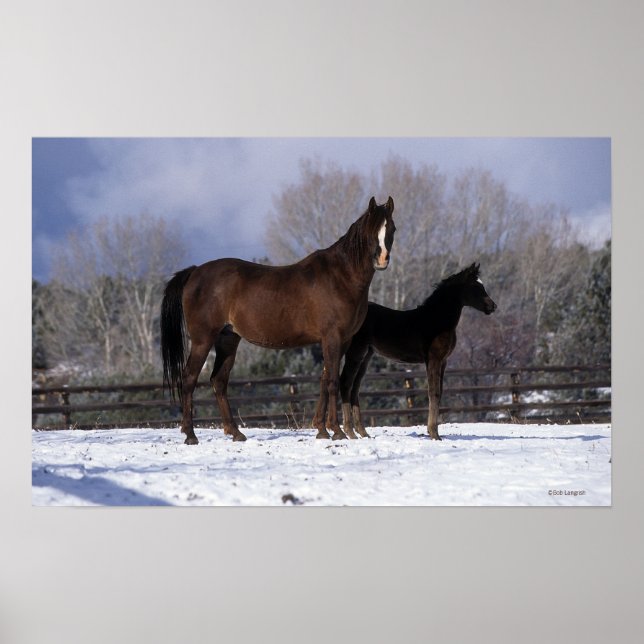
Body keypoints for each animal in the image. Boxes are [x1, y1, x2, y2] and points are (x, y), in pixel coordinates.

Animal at [161, 196, 396, 444]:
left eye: (391, 228)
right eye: (371, 230)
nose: (382, 260)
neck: (340, 277)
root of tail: (195, 272)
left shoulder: (343, 340)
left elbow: (324, 380)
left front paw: (321, 430)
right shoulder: (332, 337)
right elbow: (332, 381)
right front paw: (337, 431)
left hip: (228, 339)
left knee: (218, 381)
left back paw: (235, 432)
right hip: (202, 340)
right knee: (189, 379)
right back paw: (190, 435)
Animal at [339, 263, 496, 440]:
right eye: (476, 286)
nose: (493, 306)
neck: (437, 320)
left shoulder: (443, 361)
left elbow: (440, 392)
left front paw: (434, 432)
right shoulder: (433, 359)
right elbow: (433, 393)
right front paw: (434, 434)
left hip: (366, 356)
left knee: (355, 388)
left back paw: (363, 433)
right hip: (355, 352)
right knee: (345, 383)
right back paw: (350, 432)